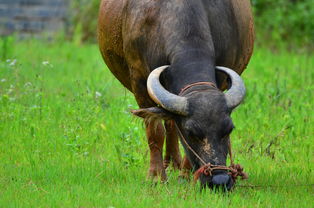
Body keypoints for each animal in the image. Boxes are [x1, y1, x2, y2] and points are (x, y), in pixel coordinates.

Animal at [99, 0, 254, 189]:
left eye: (229, 129)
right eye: (191, 132)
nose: (220, 181)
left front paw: (185, 175)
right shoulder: (139, 82)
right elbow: (156, 132)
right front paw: (156, 176)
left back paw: (175, 164)